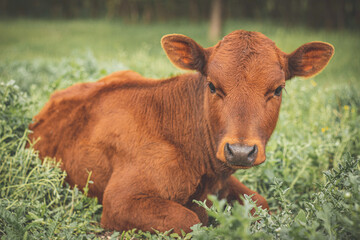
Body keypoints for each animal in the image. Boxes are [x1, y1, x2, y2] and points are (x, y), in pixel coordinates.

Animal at [28, 29, 334, 233]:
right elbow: (190, 220)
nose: (240, 151)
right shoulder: (118, 201)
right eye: (212, 85)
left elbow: (260, 202)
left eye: (277, 89)